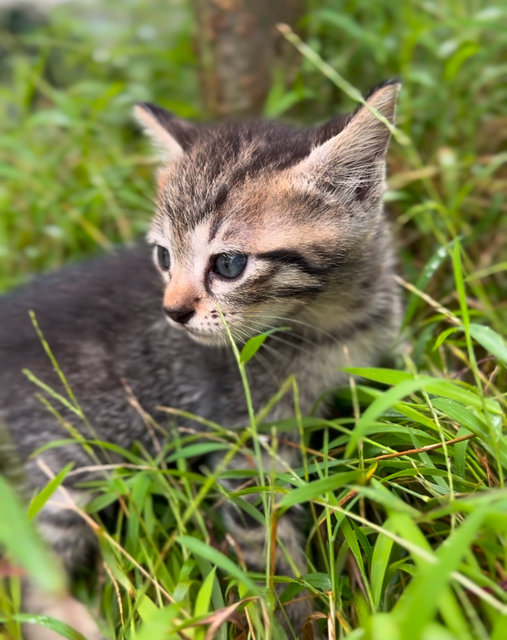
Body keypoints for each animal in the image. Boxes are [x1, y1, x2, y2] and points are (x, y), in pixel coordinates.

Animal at [0, 82, 404, 636]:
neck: (330, 321)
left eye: (229, 264)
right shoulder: (246, 444)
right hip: (69, 464)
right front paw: (296, 617)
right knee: (32, 568)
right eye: (163, 257)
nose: (172, 311)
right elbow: (270, 549)